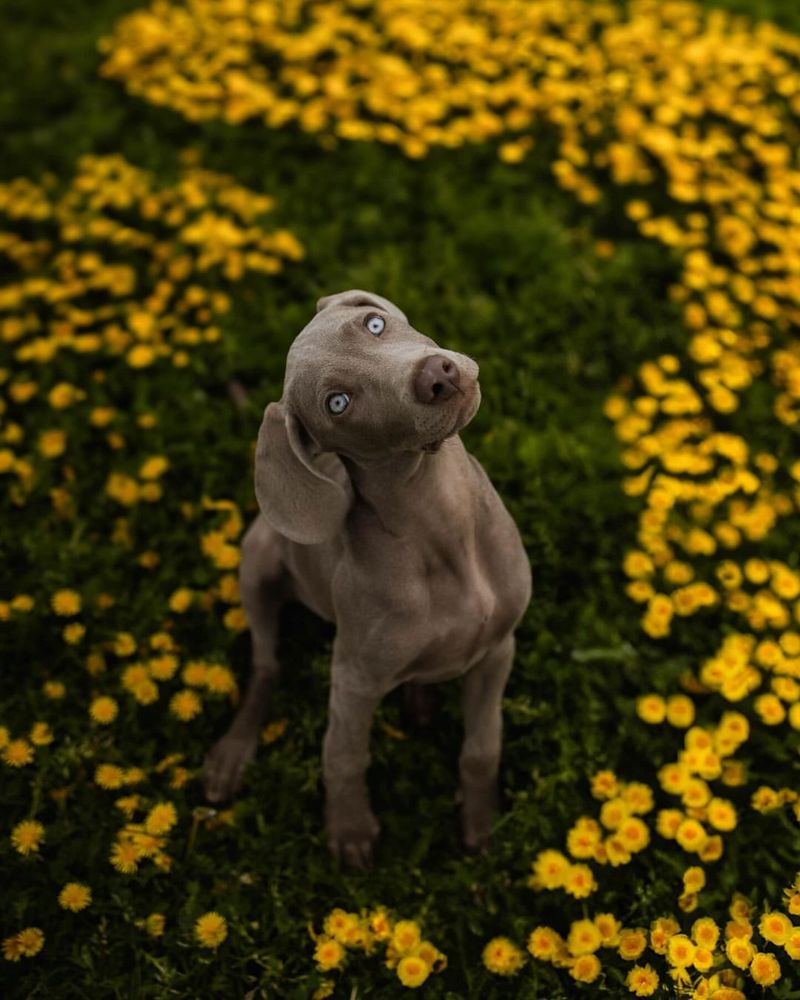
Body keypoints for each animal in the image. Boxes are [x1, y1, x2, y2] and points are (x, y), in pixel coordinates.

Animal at [205, 292, 532, 868]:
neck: (441, 526)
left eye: (374, 324)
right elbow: (344, 753)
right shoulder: (354, 679)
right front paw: (350, 828)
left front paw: (480, 825)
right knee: (266, 664)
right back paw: (232, 753)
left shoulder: (498, 649)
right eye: (338, 403)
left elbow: (482, 746)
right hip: (257, 560)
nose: (438, 375)